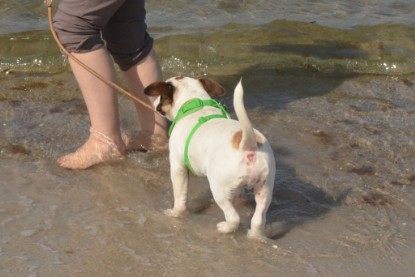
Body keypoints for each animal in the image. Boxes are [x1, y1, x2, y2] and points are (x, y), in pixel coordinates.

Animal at [144, 76, 276, 239]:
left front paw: (176, 213)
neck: (194, 102)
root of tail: (248, 146)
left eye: (161, 96)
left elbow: (180, 195)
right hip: (265, 189)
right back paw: (255, 236)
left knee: (234, 218)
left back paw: (225, 228)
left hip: (219, 189)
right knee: (258, 219)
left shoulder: (178, 167)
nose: (154, 102)